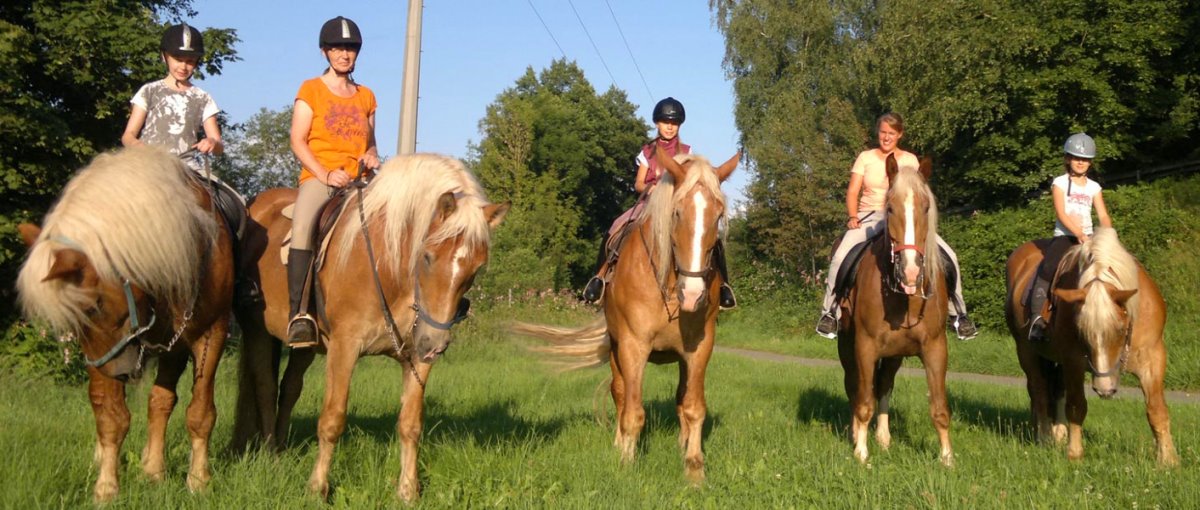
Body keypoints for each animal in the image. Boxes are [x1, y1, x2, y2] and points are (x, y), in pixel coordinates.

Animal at [15, 145, 232, 501]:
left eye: (93, 307)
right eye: (76, 320)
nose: (121, 374)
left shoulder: (210, 334)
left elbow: (199, 412)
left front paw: (198, 481)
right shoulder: (107, 354)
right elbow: (111, 416)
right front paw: (106, 487)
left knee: (160, 402)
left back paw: (154, 469)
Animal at [231, 151, 508, 501]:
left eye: (477, 268)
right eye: (428, 257)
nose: (436, 343)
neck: (388, 268)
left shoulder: (417, 357)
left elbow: (410, 423)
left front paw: (408, 491)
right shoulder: (344, 348)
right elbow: (332, 419)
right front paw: (318, 488)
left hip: (305, 345)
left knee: (290, 387)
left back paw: (281, 446)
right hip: (257, 331)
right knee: (265, 388)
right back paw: (272, 456)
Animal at [513, 148, 734, 482]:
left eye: (718, 215)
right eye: (676, 212)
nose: (694, 294)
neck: (668, 284)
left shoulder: (699, 348)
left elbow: (693, 407)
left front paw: (694, 469)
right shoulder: (633, 346)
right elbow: (632, 410)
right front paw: (627, 464)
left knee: (680, 399)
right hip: (616, 349)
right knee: (618, 392)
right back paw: (620, 443)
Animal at [835, 154, 955, 465]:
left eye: (926, 207)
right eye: (890, 208)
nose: (910, 271)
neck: (904, 298)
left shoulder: (935, 347)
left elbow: (939, 407)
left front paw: (947, 458)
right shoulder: (864, 346)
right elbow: (864, 401)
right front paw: (861, 453)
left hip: (894, 355)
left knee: (884, 385)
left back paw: (884, 438)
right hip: (846, 345)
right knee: (854, 386)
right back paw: (856, 435)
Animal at [1003, 226, 1180, 465]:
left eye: (1121, 329)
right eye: (1083, 332)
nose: (1105, 389)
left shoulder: (1152, 358)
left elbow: (1157, 409)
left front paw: (1168, 460)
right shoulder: (1073, 361)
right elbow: (1077, 405)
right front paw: (1075, 453)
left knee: (1056, 390)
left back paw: (1059, 434)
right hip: (1026, 351)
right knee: (1039, 391)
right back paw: (1045, 437)